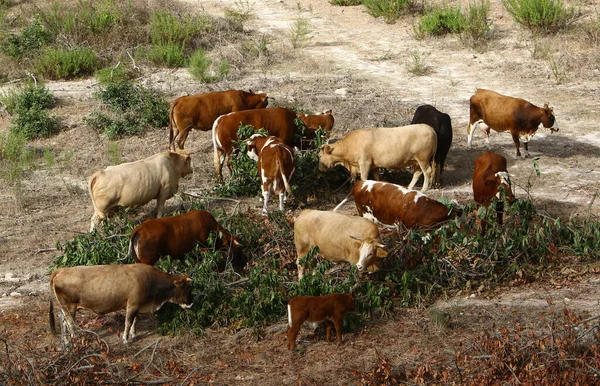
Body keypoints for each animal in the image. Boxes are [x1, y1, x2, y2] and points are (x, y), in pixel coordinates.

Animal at [50, 266, 195, 344]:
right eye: (187, 288)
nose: (191, 303)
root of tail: (61, 270)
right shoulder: (132, 305)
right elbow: (128, 322)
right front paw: (125, 339)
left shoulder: (137, 306)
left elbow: (135, 321)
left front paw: (134, 334)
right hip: (69, 307)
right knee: (69, 322)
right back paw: (74, 338)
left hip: (66, 308)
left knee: (63, 321)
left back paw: (66, 340)